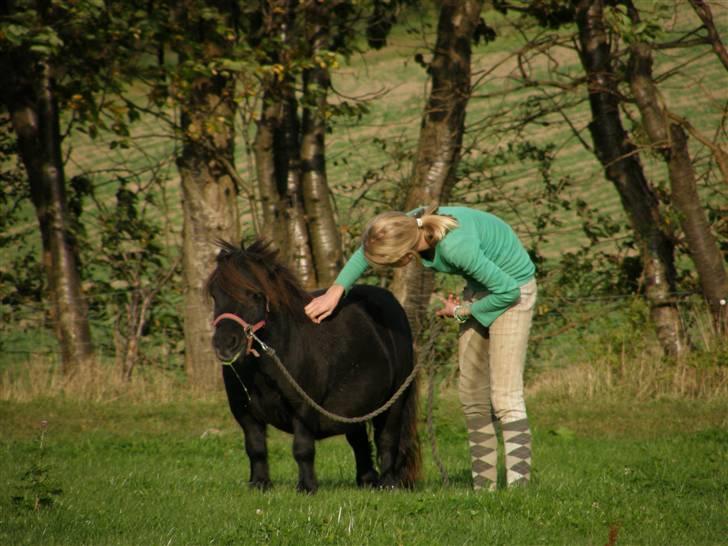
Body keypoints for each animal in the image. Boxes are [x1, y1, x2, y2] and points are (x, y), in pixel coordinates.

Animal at [206, 240, 420, 490]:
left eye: (255, 295)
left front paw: (307, 487)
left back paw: (388, 484)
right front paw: (259, 484)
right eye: (214, 294)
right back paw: (367, 481)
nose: (225, 344)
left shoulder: (303, 409)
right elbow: (255, 448)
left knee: (387, 439)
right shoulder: (245, 414)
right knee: (359, 441)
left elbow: (302, 449)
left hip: (394, 401)